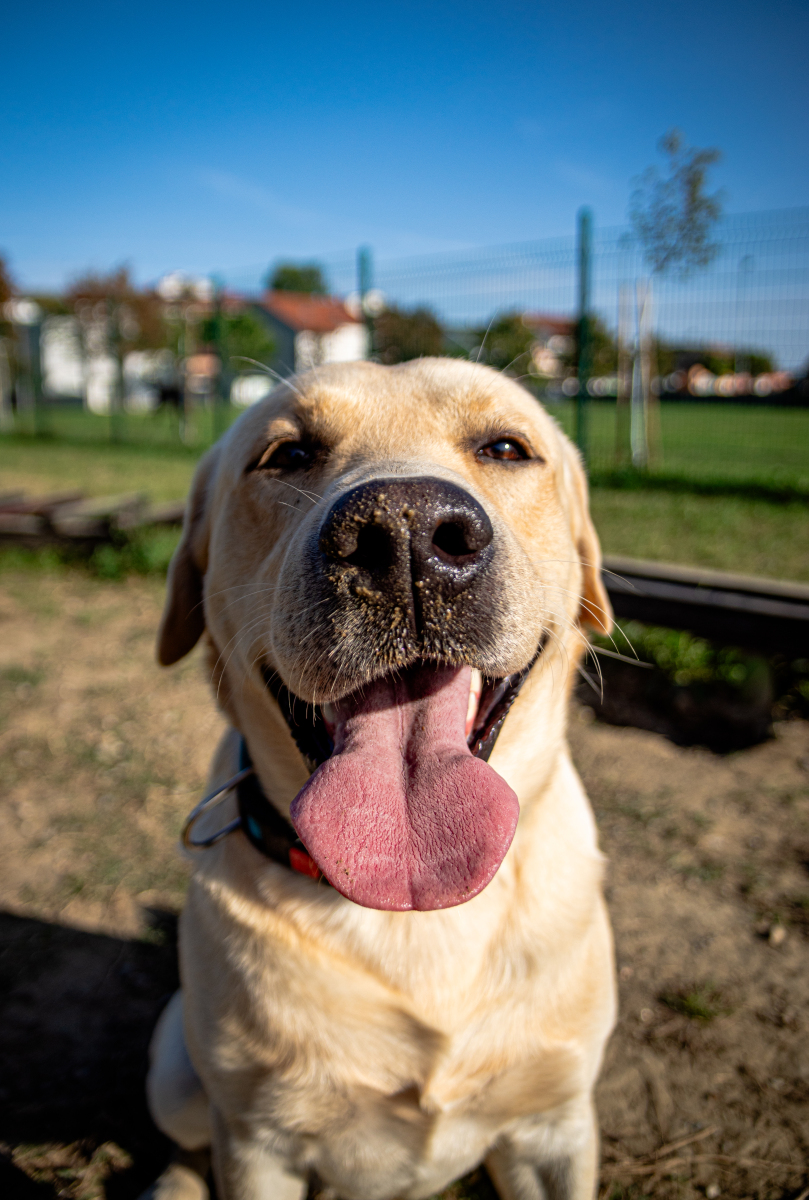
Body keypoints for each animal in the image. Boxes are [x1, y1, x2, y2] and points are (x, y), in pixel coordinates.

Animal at [145, 357, 614, 1200]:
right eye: (287, 454)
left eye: (504, 447)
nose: (404, 533)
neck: (414, 909)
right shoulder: (259, 1144)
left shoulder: (554, 1124)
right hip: (175, 1071)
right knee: (188, 1141)